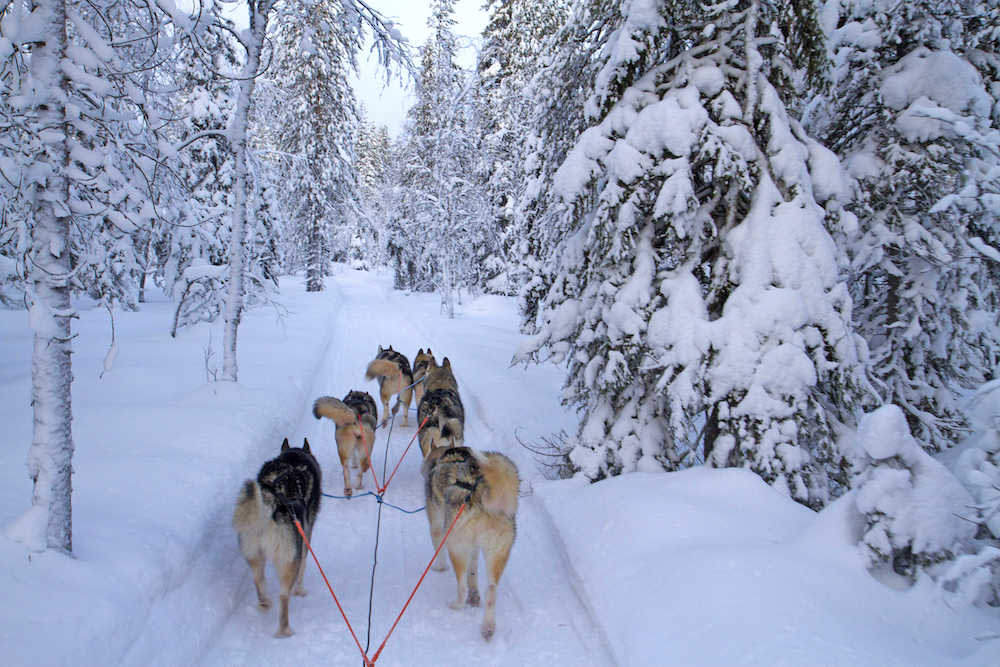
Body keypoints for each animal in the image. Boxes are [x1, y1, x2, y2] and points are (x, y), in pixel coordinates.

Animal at [230, 438, 320, 636]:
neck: (291, 463)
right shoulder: (305, 539)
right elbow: (303, 568)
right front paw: (300, 591)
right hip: (289, 560)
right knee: (283, 596)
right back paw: (285, 631)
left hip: (254, 553)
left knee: (258, 579)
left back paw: (265, 603)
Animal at [422, 446, 520, 640]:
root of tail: (477, 492)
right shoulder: (474, 547)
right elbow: (473, 572)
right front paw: (475, 594)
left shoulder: (437, 528)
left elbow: (439, 552)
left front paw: (439, 567)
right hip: (497, 552)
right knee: (491, 590)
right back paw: (488, 627)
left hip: (456, 547)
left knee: (462, 587)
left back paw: (456, 604)